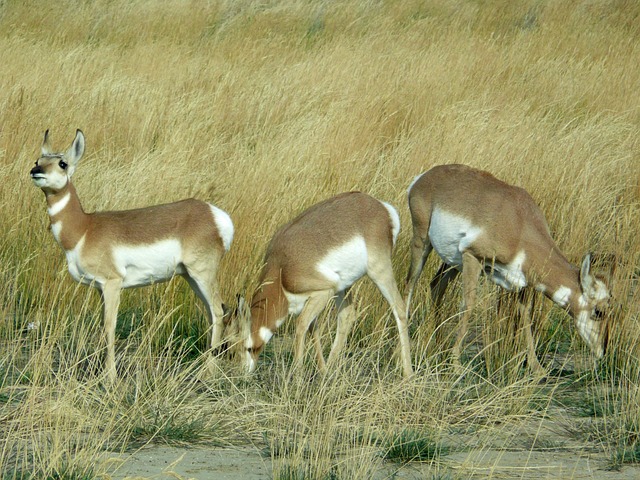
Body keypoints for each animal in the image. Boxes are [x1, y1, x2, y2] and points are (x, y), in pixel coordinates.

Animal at [30, 130, 234, 382]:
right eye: (37, 160)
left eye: (62, 163)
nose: (36, 171)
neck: (85, 229)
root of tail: (213, 214)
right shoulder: (100, 288)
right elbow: (103, 325)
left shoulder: (112, 283)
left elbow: (110, 326)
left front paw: (110, 377)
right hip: (190, 277)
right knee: (212, 312)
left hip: (201, 274)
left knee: (217, 310)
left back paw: (208, 373)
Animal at [240, 191, 416, 378]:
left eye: (247, 347)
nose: (242, 374)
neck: (281, 269)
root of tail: (381, 206)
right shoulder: (310, 301)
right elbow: (313, 329)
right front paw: (322, 370)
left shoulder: (323, 292)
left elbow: (301, 326)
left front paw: (298, 377)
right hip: (344, 286)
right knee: (347, 316)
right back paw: (330, 370)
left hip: (378, 272)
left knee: (399, 308)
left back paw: (408, 373)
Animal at [404, 164, 608, 372]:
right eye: (599, 311)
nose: (603, 351)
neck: (520, 223)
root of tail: (425, 176)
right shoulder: (473, 257)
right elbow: (468, 305)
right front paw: (455, 363)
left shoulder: (521, 283)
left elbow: (525, 316)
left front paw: (536, 367)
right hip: (423, 243)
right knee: (409, 285)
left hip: (452, 260)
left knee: (436, 285)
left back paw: (438, 345)